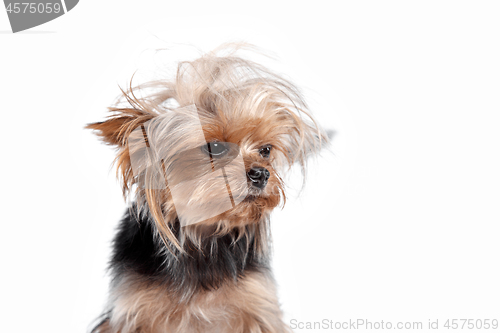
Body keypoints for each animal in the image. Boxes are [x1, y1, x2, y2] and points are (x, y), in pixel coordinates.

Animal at [86, 44, 328, 332]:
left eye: (266, 150)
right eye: (215, 147)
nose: (261, 173)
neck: (204, 237)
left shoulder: (257, 309)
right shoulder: (134, 311)